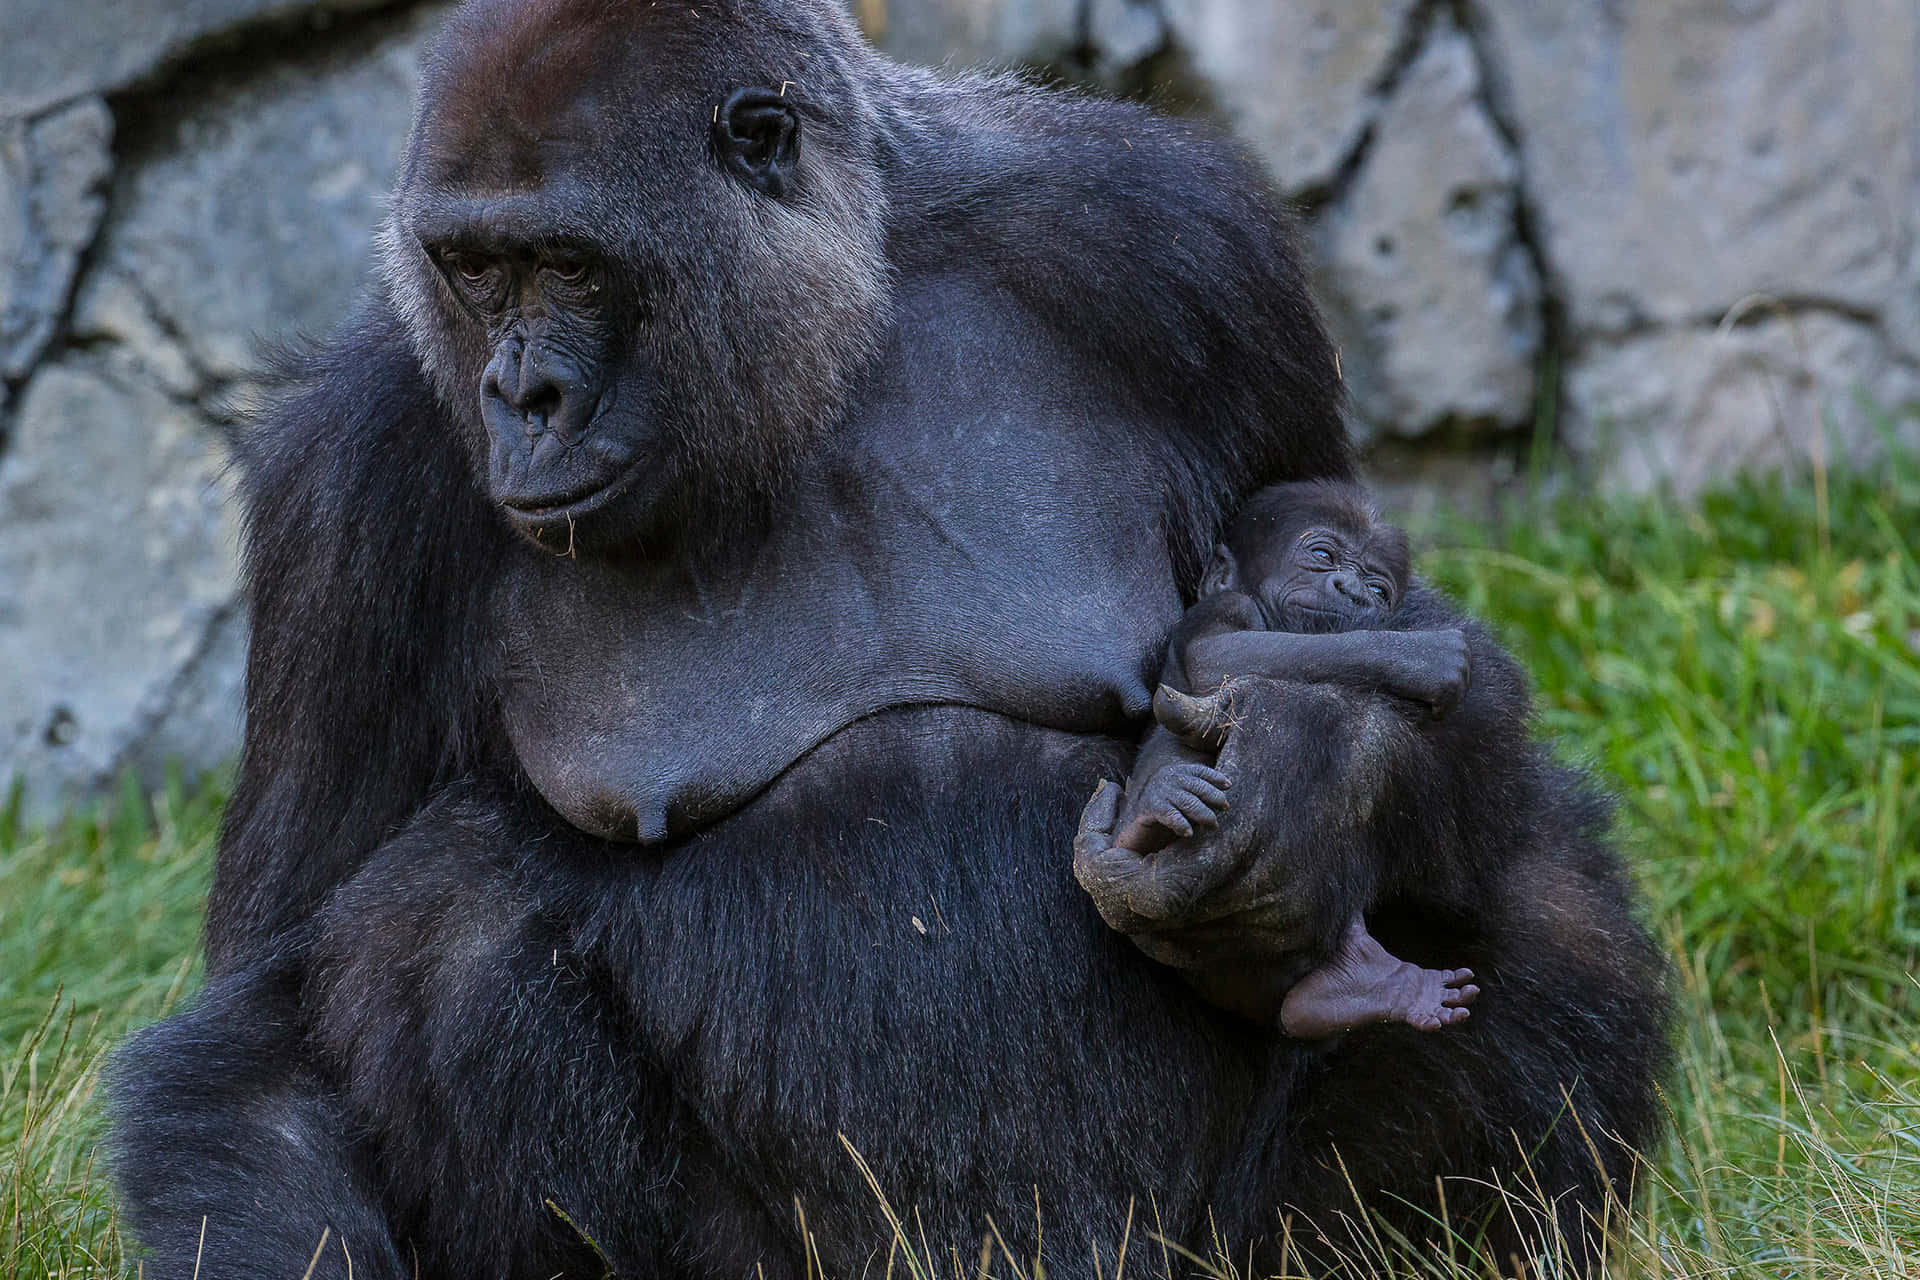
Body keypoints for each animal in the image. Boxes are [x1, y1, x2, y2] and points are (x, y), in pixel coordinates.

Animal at [1090, 483, 1474, 1043]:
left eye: (1377, 588)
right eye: (1323, 556)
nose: (1351, 591)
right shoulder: (1226, 605)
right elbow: (1213, 656)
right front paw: (1422, 658)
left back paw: (1360, 987)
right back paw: (1159, 806)